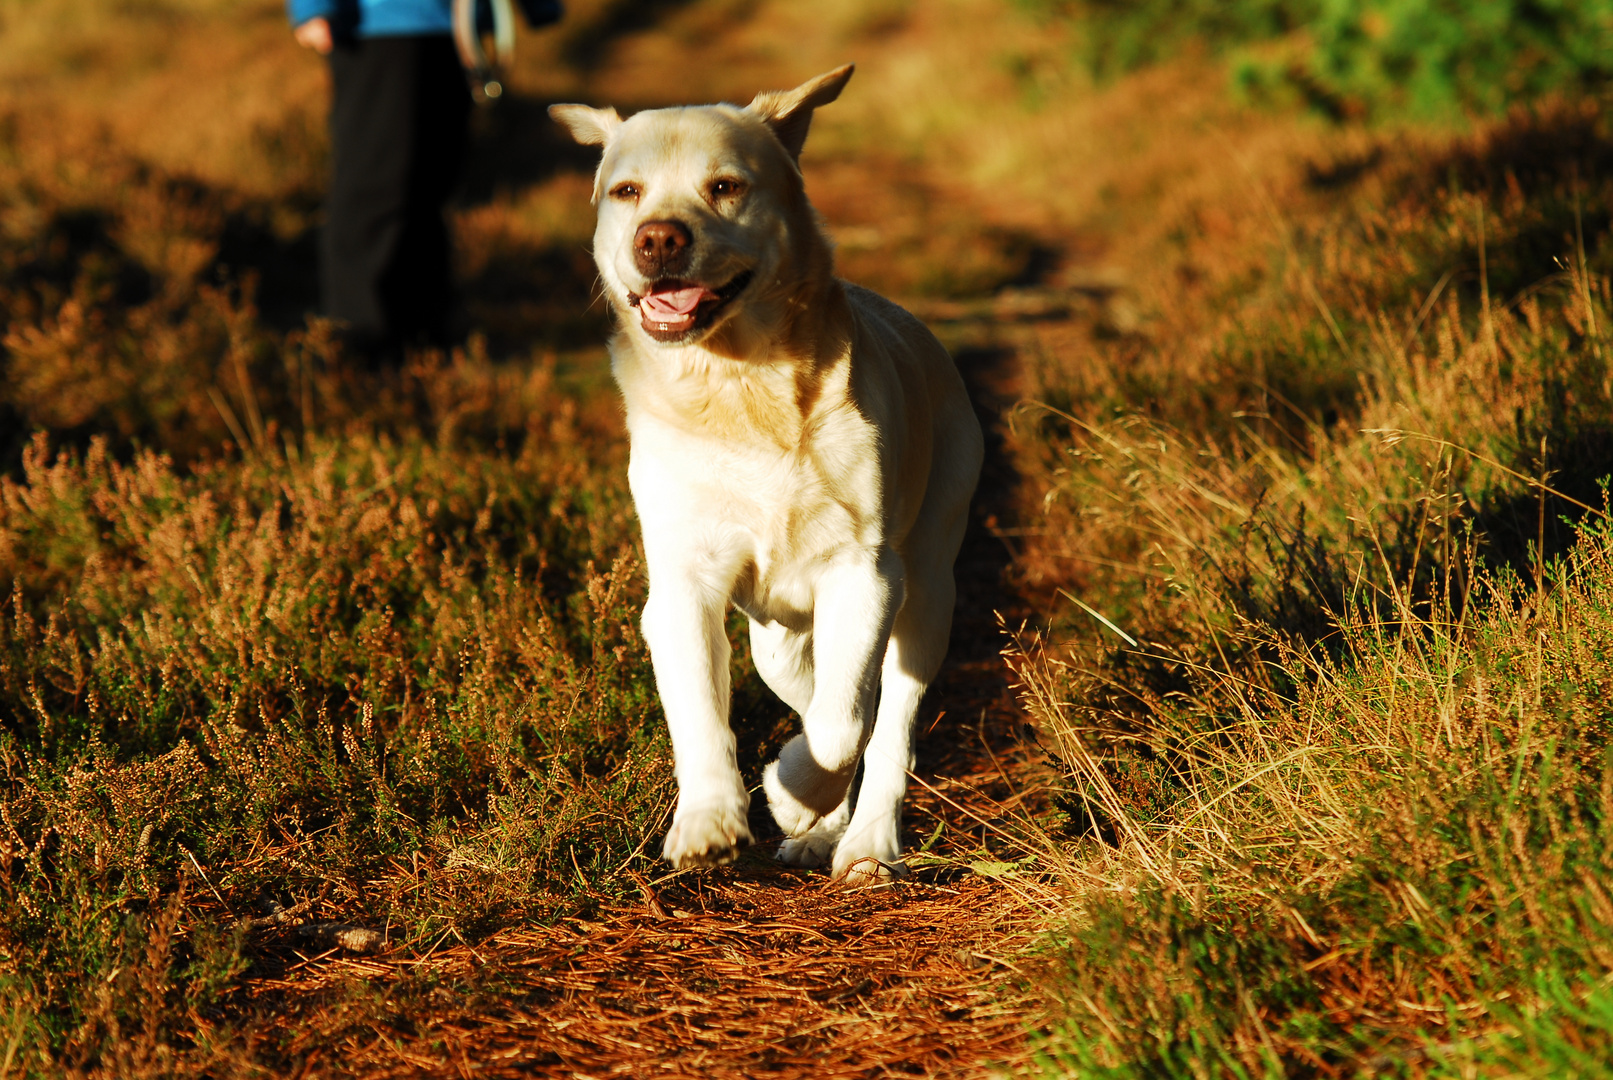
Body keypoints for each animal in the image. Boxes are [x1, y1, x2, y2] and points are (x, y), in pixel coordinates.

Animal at [554, 63, 980, 883]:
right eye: (626, 192)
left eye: (725, 186)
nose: (659, 238)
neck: (740, 387)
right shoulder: (683, 581)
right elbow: (700, 711)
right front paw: (710, 819)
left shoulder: (865, 574)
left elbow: (845, 725)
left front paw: (788, 793)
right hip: (775, 635)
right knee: (813, 689)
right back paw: (821, 827)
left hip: (927, 589)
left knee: (885, 719)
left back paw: (863, 839)